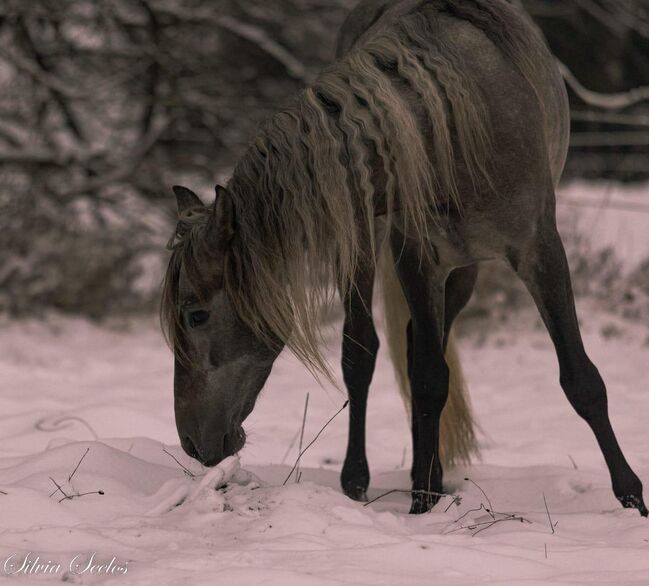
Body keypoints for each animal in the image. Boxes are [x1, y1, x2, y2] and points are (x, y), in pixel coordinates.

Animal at [159, 0, 644, 512]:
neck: (450, 133)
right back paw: (361, 478)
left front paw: (632, 498)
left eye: (195, 315)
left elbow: (581, 379)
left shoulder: (540, 250)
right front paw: (423, 502)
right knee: (364, 353)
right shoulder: (417, 258)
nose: (190, 443)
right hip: (366, 244)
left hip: (465, 269)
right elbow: (427, 377)